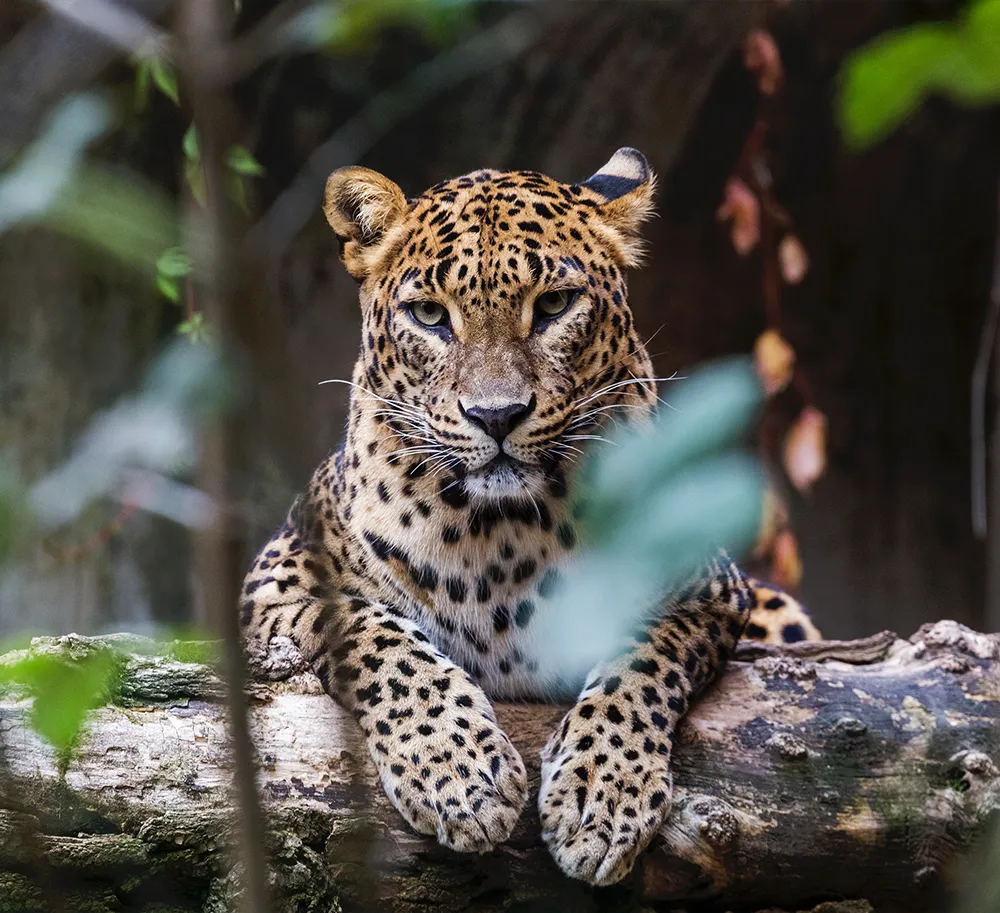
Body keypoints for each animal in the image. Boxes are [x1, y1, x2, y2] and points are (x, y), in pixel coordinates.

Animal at [240, 147, 820, 886]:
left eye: (553, 305)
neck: (500, 532)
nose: (496, 415)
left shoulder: (709, 588)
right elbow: (382, 639)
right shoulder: (278, 582)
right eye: (429, 314)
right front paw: (461, 775)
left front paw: (602, 796)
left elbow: (640, 658)